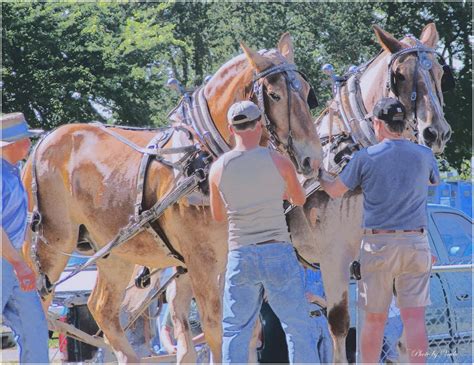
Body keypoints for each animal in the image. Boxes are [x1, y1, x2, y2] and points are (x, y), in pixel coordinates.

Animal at [23, 33, 322, 362]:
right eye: (274, 95)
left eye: (306, 91)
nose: (313, 158)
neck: (205, 157)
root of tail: (42, 143)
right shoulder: (202, 261)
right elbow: (216, 329)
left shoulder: (226, 257)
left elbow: (246, 330)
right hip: (52, 245)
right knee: (36, 305)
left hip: (114, 251)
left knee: (102, 308)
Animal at [286, 24, 454, 362]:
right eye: (399, 75)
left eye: (440, 72)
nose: (436, 132)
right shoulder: (334, 254)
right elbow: (340, 325)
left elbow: (394, 332)